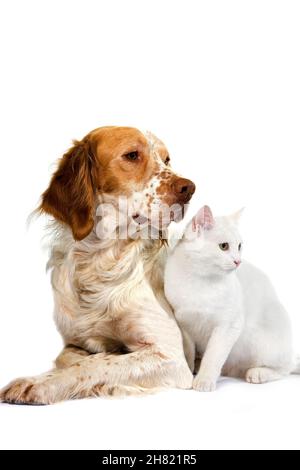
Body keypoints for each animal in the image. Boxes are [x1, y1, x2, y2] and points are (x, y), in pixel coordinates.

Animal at [0, 127, 196, 404]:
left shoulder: (171, 356)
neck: (102, 261)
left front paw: (38, 383)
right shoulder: (73, 342)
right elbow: (71, 359)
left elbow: (94, 364)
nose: (189, 188)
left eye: (167, 159)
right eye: (132, 155)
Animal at [165, 206, 298, 392]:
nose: (238, 261)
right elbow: (189, 351)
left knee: (285, 368)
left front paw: (204, 380)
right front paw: (188, 372)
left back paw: (258, 373)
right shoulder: (184, 324)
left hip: (260, 343)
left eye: (239, 246)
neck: (200, 280)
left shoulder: (228, 326)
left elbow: (213, 356)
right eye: (224, 246)